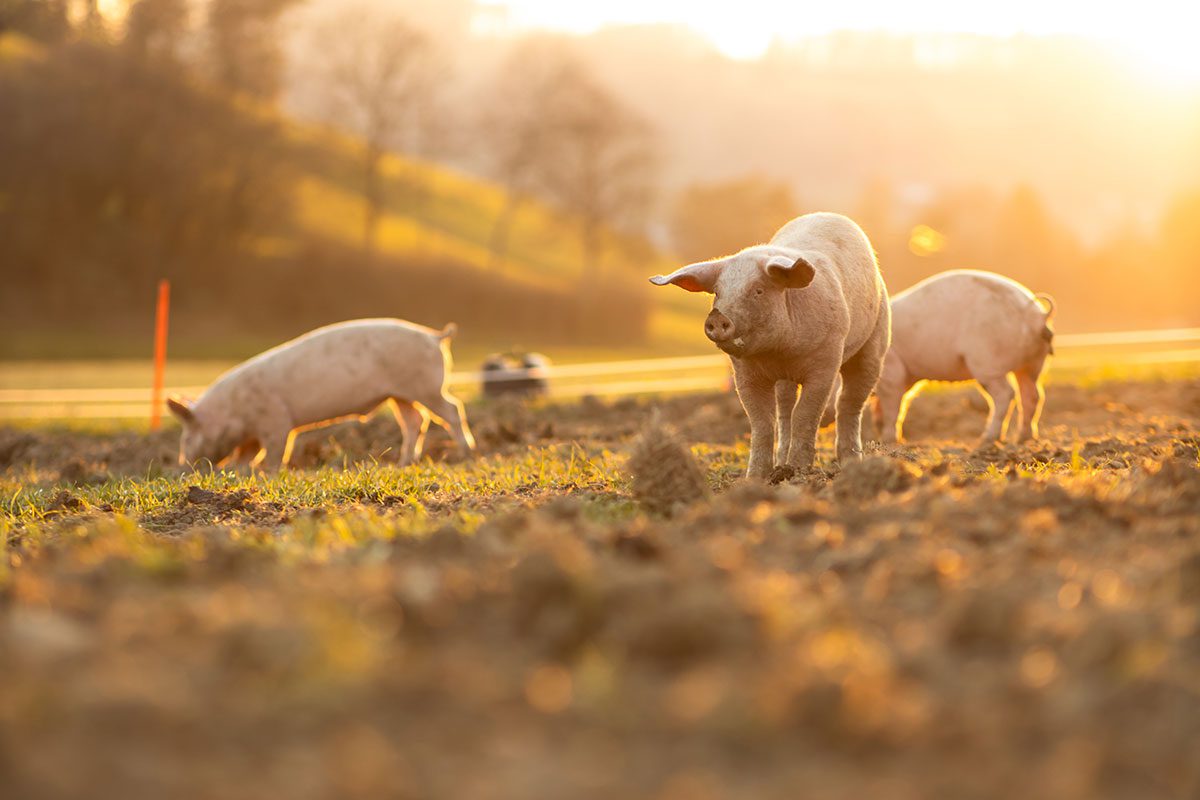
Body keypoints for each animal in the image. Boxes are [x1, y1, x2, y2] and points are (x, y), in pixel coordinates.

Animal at [166, 319, 475, 470]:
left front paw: (267, 472)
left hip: (427, 386)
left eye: (187, 436)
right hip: (401, 395)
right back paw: (404, 462)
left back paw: (466, 453)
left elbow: (275, 450)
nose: (184, 466)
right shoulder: (252, 434)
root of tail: (434, 336)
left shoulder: (274, 420)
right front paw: (239, 471)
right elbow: (247, 455)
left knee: (452, 409)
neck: (235, 412)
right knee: (415, 421)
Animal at [648, 209, 892, 479]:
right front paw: (755, 478)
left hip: (875, 342)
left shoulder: (826, 360)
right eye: (718, 293)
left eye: (758, 290)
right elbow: (762, 422)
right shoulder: (745, 374)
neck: (778, 352)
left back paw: (851, 463)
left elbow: (806, 415)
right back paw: (782, 465)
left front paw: (798, 472)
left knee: (849, 402)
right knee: (785, 409)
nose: (717, 317)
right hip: (787, 381)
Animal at [868, 268, 1056, 443]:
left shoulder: (892, 370)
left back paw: (988, 438)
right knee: (1033, 395)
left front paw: (889, 440)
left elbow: (893, 405)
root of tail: (1035, 316)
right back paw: (1023, 438)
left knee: (1006, 393)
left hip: (987, 363)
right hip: (1034, 363)